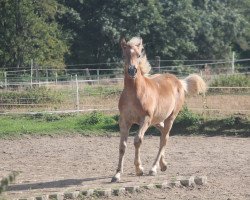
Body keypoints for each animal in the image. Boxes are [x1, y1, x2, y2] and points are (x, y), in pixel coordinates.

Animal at [112, 37, 207, 183]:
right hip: (157, 120)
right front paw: (117, 175)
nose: (132, 71)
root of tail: (179, 82)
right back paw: (163, 165)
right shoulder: (124, 120)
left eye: (138, 55)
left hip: (170, 118)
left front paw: (139, 169)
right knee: (163, 133)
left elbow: (137, 140)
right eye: (124, 55)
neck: (135, 92)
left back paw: (153, 168)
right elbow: (122, 146)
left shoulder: (145, 119)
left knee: (164, 139)